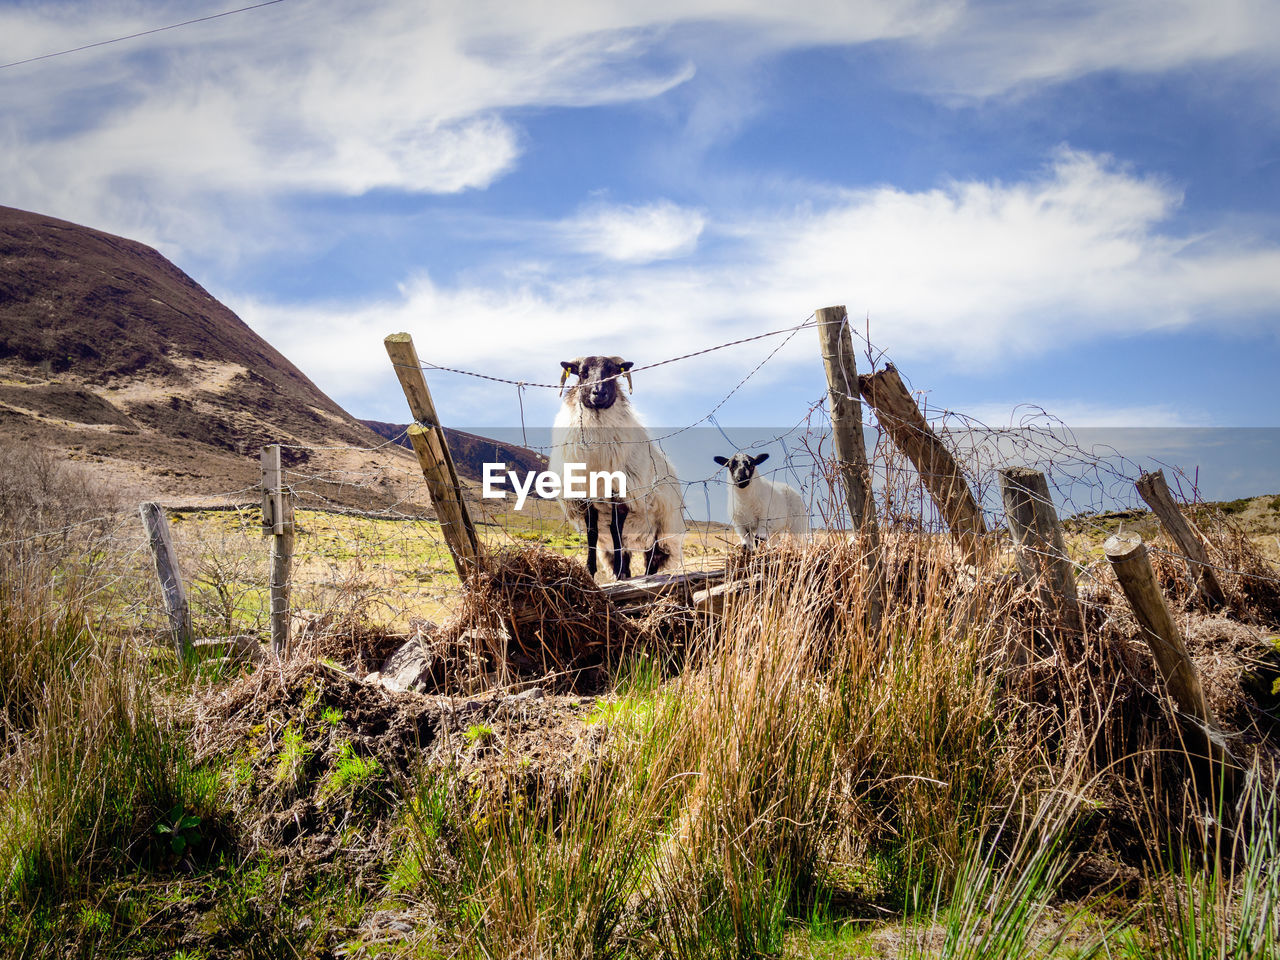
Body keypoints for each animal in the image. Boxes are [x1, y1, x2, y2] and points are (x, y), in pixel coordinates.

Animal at [547, 353, 686, 578]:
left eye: (613, 371)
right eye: (583, 373)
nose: (599, 392)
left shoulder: (621, 494)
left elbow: (615, 530)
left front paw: (619, 575)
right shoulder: (587, 497)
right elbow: (592, 534)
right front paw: (590, 570)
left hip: (662, 533)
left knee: (651, 559)